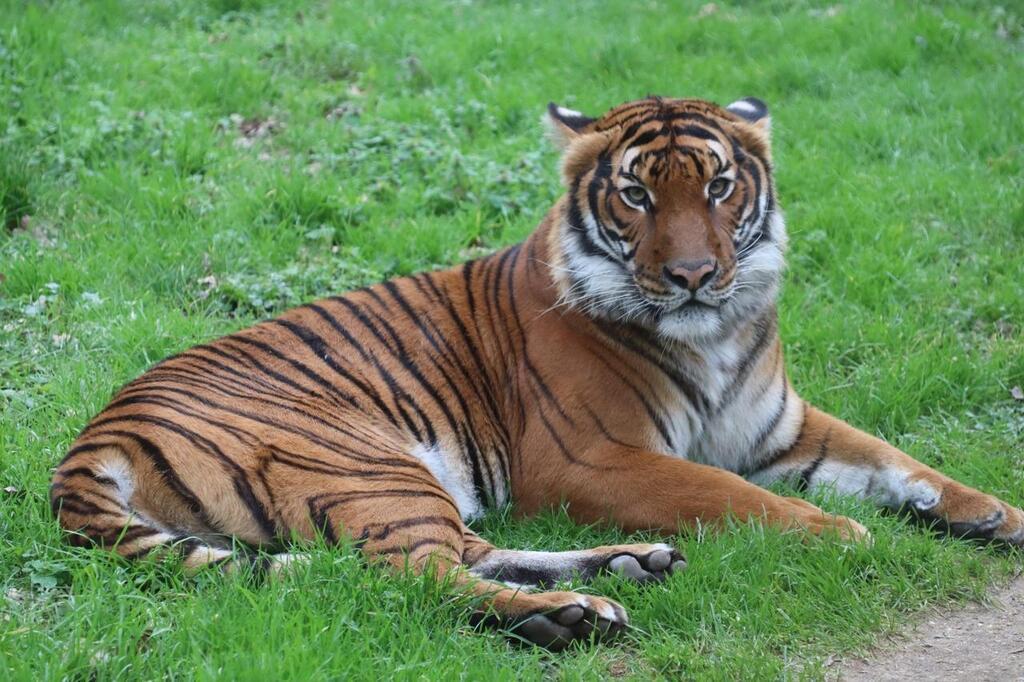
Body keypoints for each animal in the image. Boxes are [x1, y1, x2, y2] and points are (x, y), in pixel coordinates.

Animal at [54, 94, 1024, 647]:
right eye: (636, 194)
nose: (694, 275)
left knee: (468, 552)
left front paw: (994, 513)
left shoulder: (779, 426)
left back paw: (630, 566)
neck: (714, 332)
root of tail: (91, 442)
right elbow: (731, 494)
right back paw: (571, 615)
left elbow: (894, 458)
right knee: (411, 575)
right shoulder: (590, 457)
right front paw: (841, 535)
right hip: (367, 461)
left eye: (718, 187)